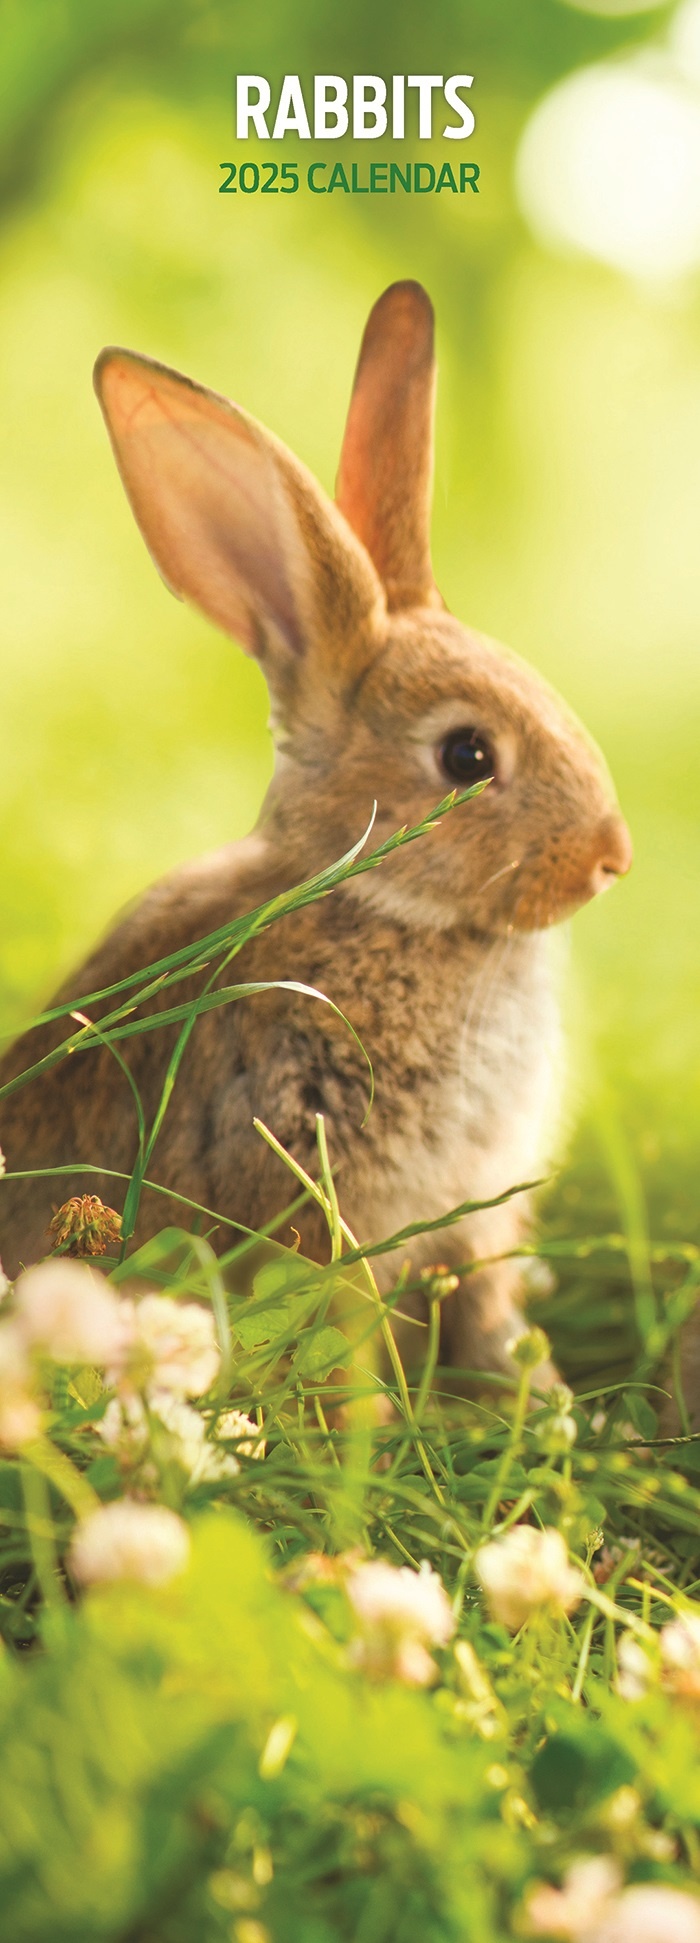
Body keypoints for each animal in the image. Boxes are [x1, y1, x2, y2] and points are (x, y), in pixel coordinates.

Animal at [0, 280, 632, 1388]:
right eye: (468, 755)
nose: (611, 856)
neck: (383, 905)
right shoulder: (312, 1184)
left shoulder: (470, 1225)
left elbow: (489, 1310)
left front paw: (539, 1395)